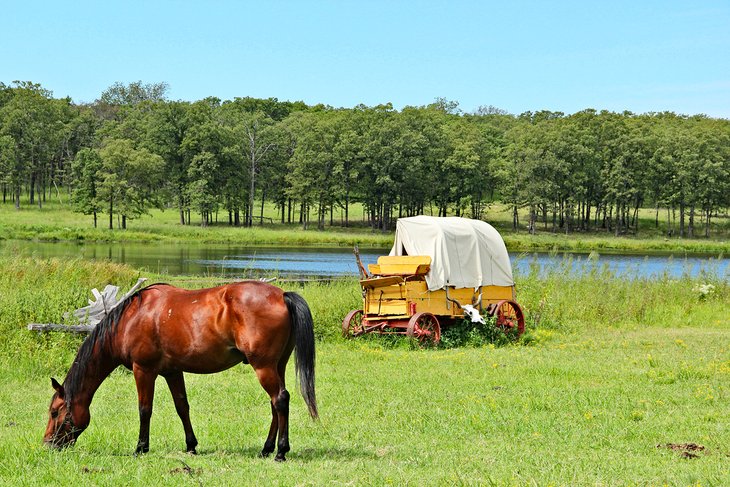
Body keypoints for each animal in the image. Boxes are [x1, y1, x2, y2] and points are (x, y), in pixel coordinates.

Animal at [43, 282, 316, 462]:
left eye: (55, 412)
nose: (48, 444)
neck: (131, 318)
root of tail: (282, 295)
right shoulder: (173, 372)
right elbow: (182, 407)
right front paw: (191, 446)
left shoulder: (144, 370)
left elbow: (145, 409)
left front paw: (140, 448)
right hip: (277, 365)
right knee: (276, 403)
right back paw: (266, 448)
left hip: (264, 366)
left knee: (280, 400)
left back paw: (280, 451)